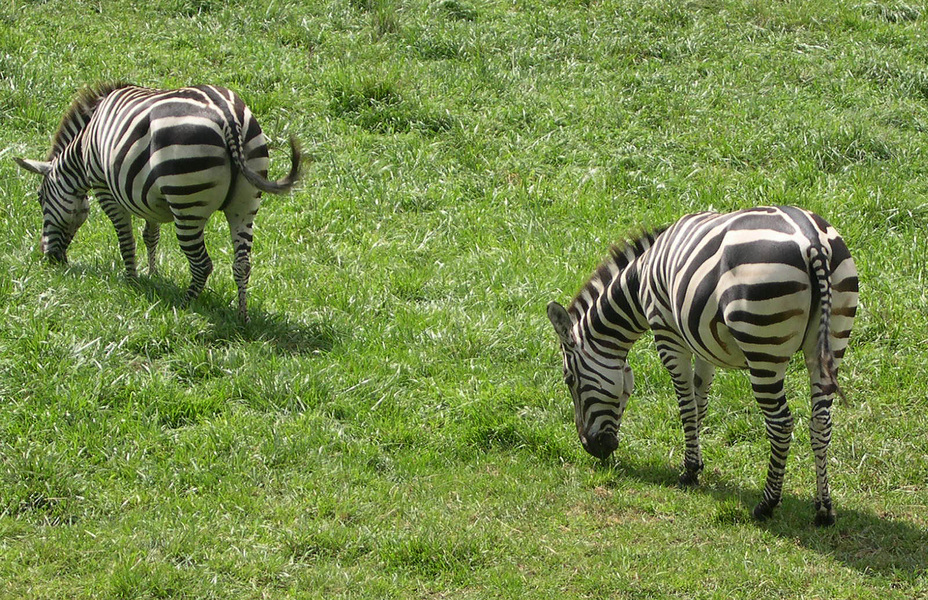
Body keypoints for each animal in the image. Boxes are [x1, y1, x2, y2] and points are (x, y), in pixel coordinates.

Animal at [14, 83, 300, 324]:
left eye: (40, 198)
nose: (49, 258)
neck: (83, 149)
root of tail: (227, 114)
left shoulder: (105, 188)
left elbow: (126, 239)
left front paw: (131, 281)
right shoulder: (147, 197)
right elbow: (150, 236)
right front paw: (152, 274)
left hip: (187, 202)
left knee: (202, 264)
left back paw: (184, 306)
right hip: (245, 202)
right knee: (242, 264)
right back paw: (242, 317)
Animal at [548, 206, 860, 524]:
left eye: (569, 380)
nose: (593, 449)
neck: (639, 282)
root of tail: (812, 241)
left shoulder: (669, 337)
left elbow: (686, 407)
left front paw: (688, 472)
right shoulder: (704, 344)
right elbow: (700, 405)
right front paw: (696, 465)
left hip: (763, 346)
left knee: (781, 423)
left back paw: (766, 504)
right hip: (832, 338)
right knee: (821, 422)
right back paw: (824, 509)